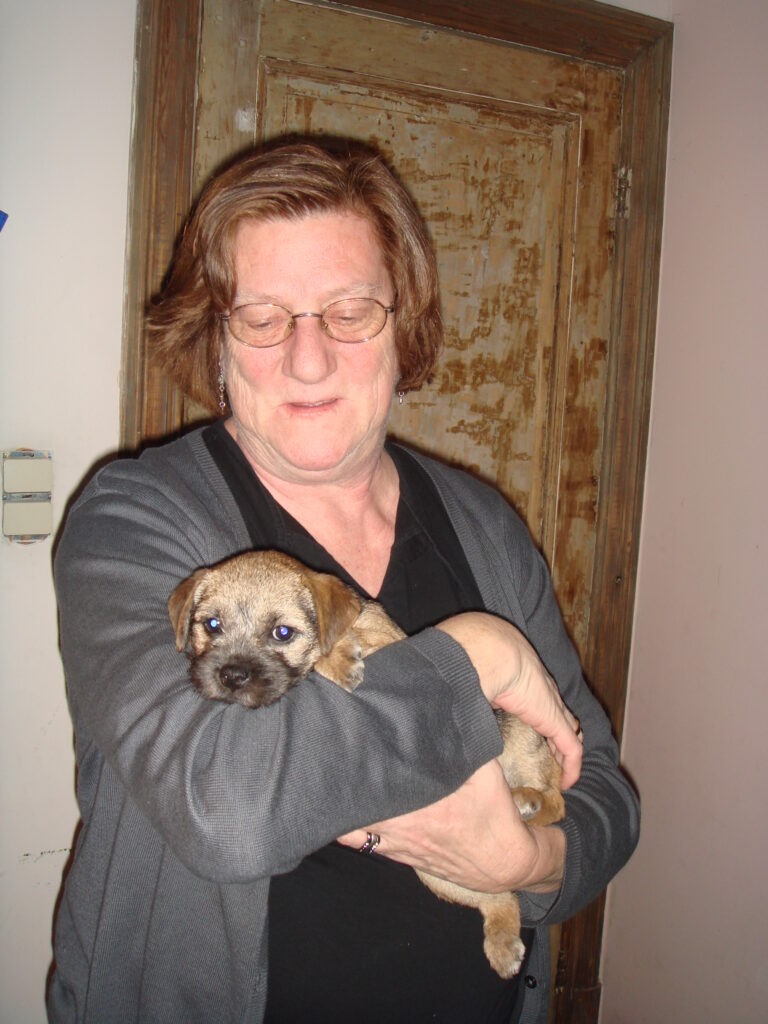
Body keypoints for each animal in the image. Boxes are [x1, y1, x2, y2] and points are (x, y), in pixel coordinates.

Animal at [168, 549, 565, 978]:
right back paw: (503, 943)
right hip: (442, 874)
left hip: (522, 739)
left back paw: (528, 802)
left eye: (282, 633)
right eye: (212, 625)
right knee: (500, 896)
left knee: (557, 802)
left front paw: (338, 659)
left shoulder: (393, 643)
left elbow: (328, 651)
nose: (232, 675)